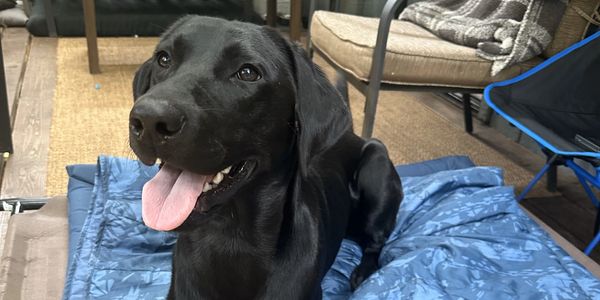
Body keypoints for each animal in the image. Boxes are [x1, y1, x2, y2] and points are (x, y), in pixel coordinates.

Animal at [130, 15, 404, 298]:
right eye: (164, 58)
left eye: (248, 72)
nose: (150, 119)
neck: (228, 240)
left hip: (377, 166)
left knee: (376, 242)